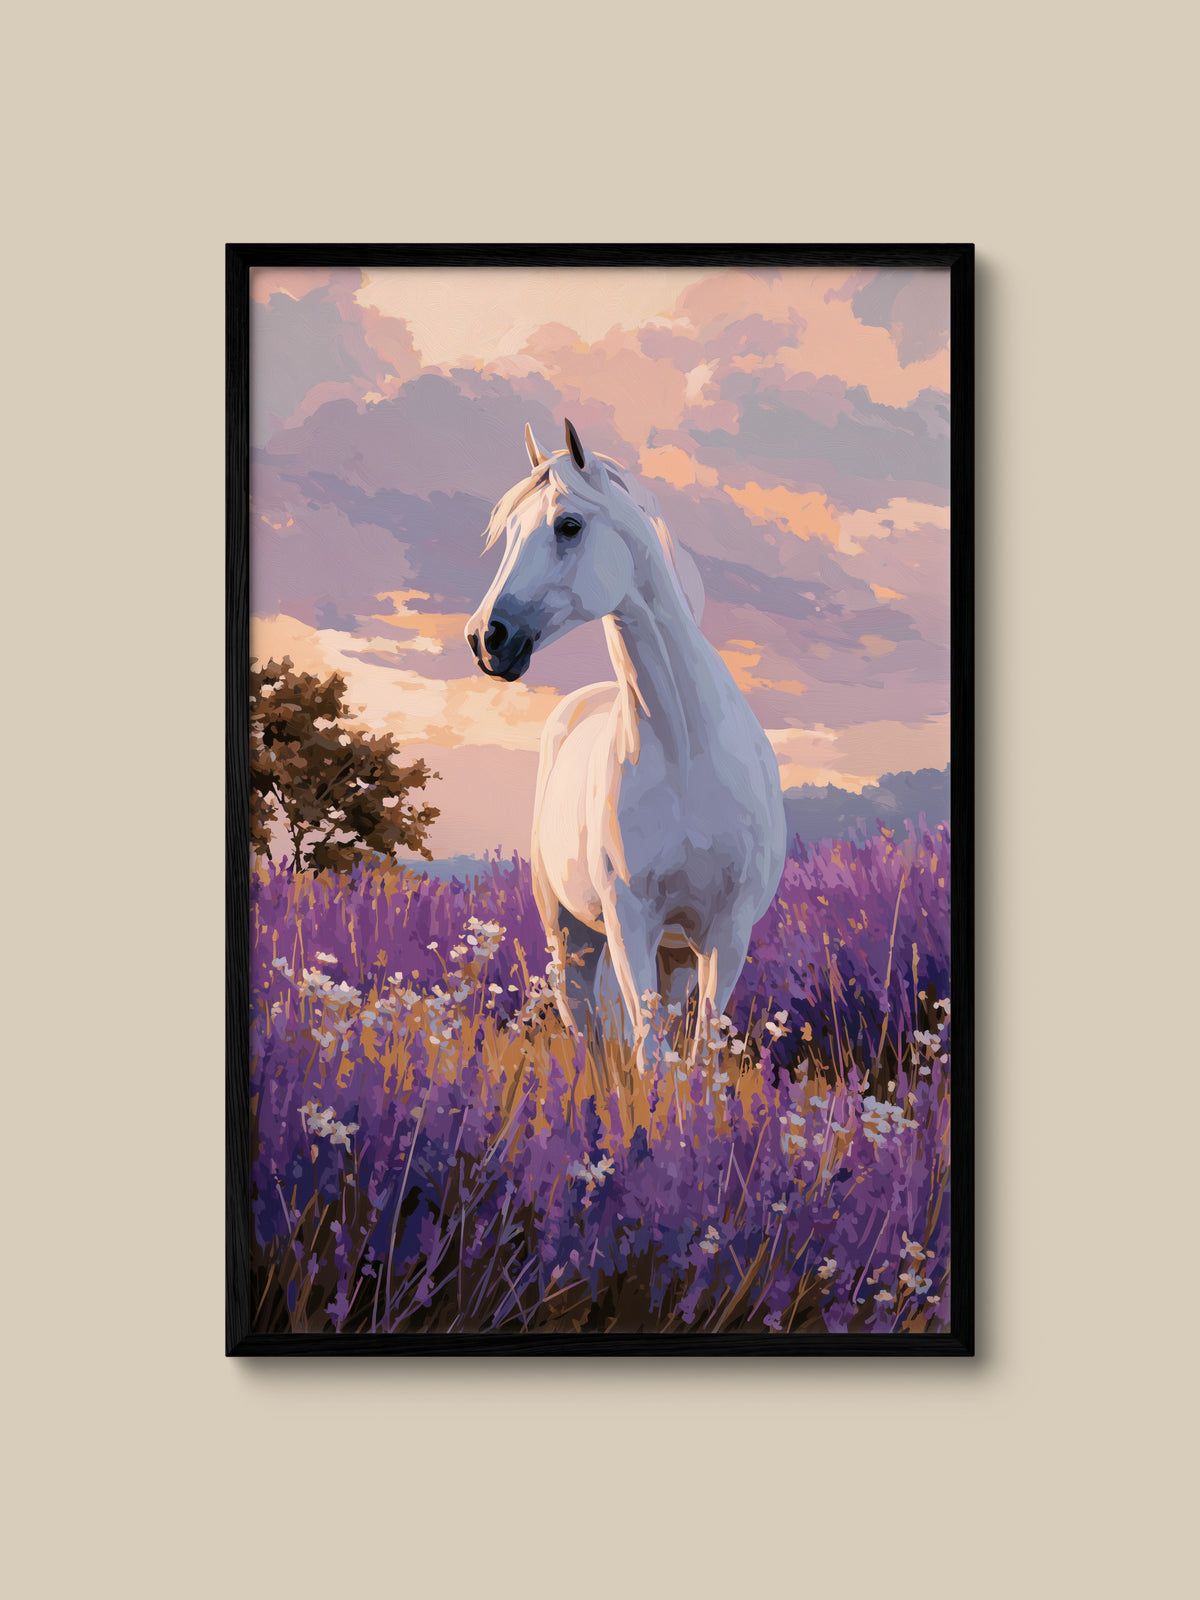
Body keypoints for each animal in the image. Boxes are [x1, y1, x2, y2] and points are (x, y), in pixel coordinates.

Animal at [465, 418, 786, 1065]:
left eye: (568, 525)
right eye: (508, 532)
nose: (486, 638)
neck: (688, 753)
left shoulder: (725, 933)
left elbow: (700, 1055)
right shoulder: (630, 922)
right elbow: (648, 1054)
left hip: (676, 955)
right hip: (574, 939)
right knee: (586, 1033)